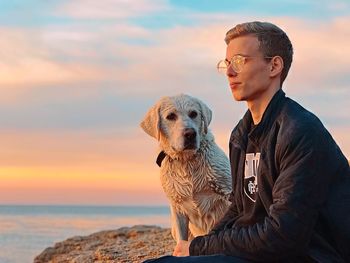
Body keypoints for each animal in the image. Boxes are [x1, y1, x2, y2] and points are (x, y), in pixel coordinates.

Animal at [139, 95, 232, 248]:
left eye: (194, 113)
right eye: (171, 116)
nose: (190, 134)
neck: (187, 161)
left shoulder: (227, 192)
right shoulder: (177, 207)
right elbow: (181, 238)